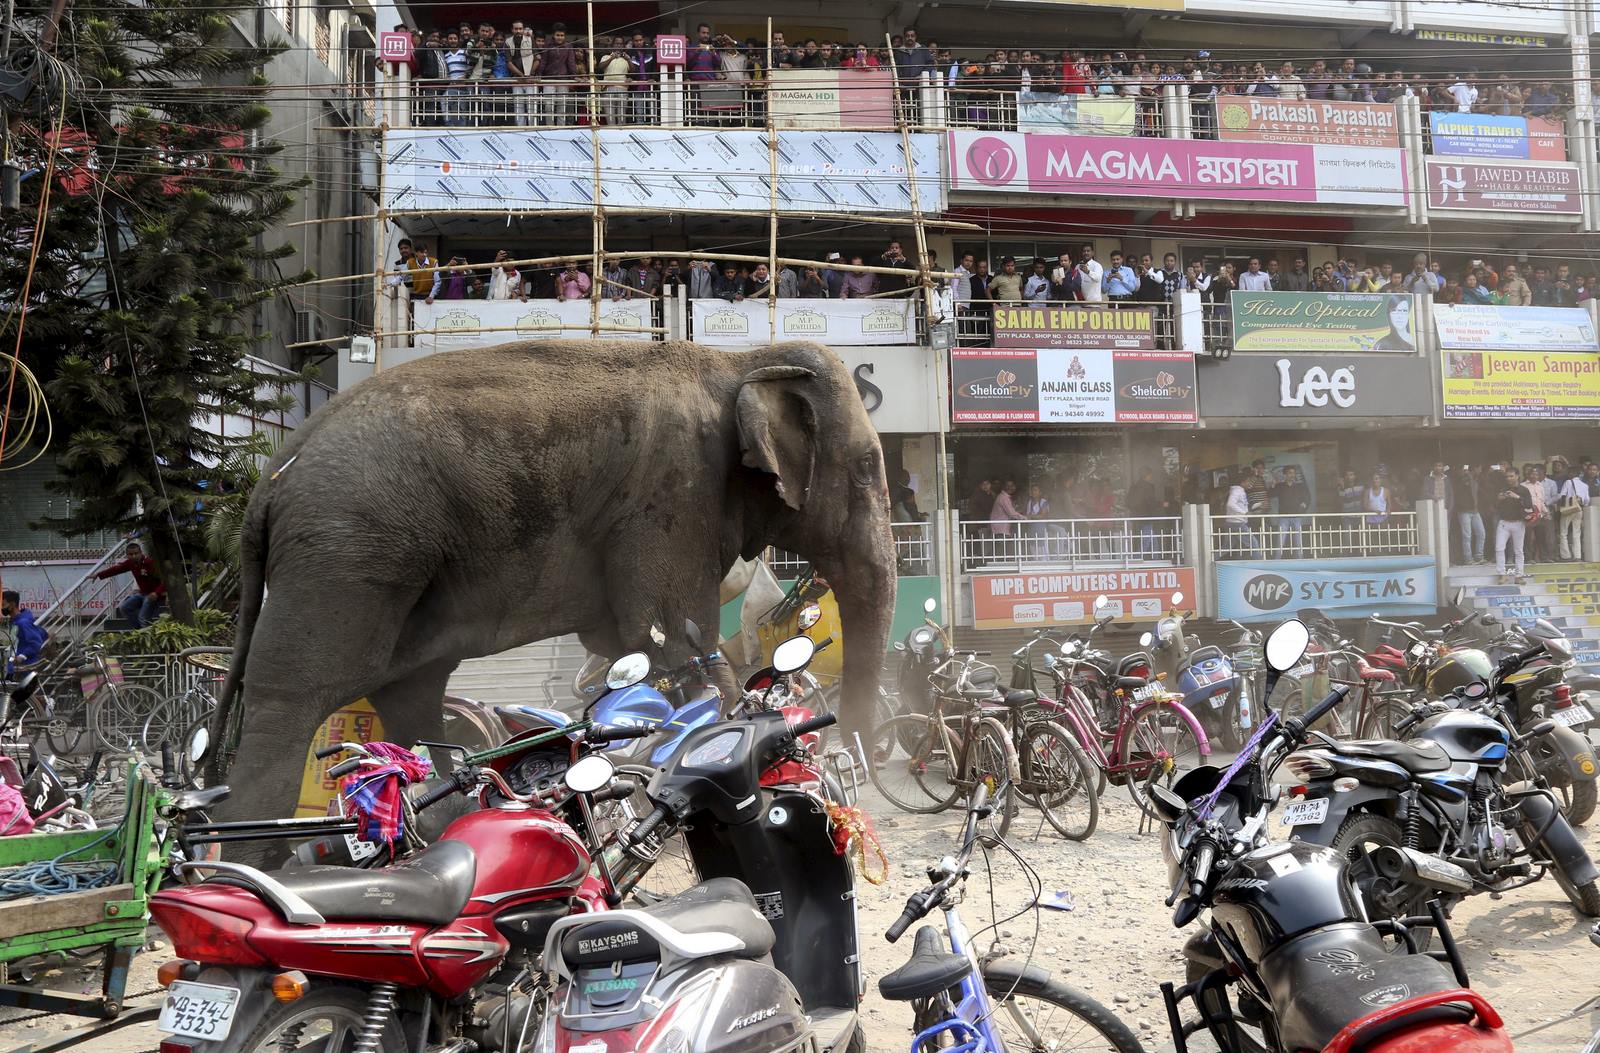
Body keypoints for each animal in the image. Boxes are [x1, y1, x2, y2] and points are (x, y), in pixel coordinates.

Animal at [210, 339, 897, 843]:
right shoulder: (671, 498)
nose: (860, 760)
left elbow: (634, 645)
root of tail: (272, 476)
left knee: (411, 692)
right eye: (867, 468)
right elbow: (669, 635)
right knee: (292, 696)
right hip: (346, 551)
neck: (739, 359)